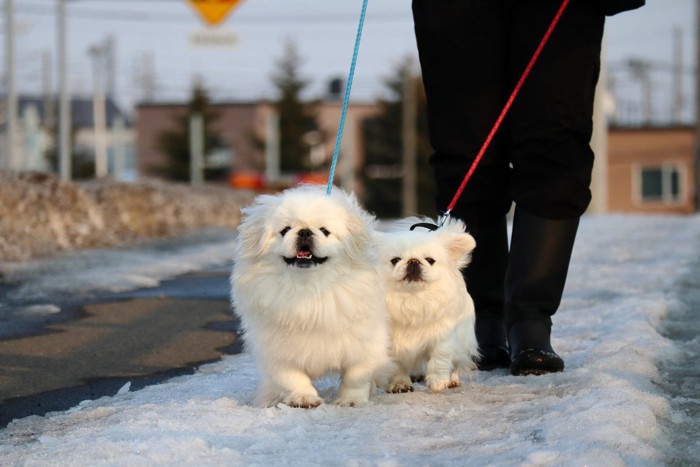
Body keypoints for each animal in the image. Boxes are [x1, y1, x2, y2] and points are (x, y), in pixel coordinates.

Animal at [231, 185, 392, 408]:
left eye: (324, 231)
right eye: (285, 230)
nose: (305, 231)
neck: (309, 290)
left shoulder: (364, 345)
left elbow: (356, 376)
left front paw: (350, 401)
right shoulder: (277, 351)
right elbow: (291, 378)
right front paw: (304, 398)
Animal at [378, 218, 482, 394]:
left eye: (430, 260)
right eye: (395, 260)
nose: (413, 261)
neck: (413, 299)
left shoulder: (444, 335)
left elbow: (439, 358)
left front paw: (438, 381)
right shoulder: (391, 342)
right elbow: (397, 365)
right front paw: (400, 384)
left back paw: (452, 380)